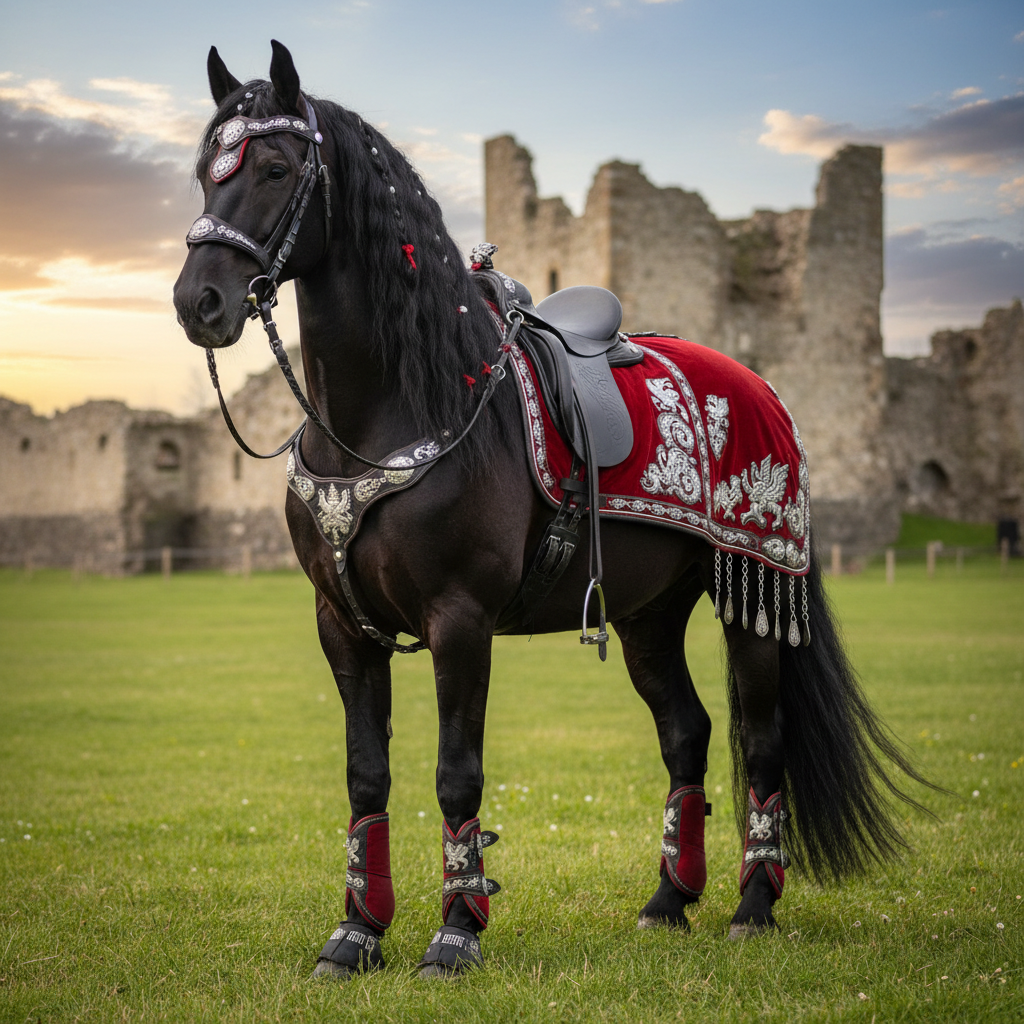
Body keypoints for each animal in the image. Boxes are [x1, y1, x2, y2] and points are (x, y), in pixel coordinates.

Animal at [173, 41, 930, 979]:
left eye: (275, 167)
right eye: (206, 171)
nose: (198, 301)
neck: (396, 409)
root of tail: (762, 387)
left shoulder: (460, 619)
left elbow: (456, 773)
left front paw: (456, 933)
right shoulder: (341, 624)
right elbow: (365, 773)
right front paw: (356, 933)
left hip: (752, 592)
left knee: (761, 740)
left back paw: (753, 906)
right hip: (647, 612)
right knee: (686, 731)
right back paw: (668, 899)